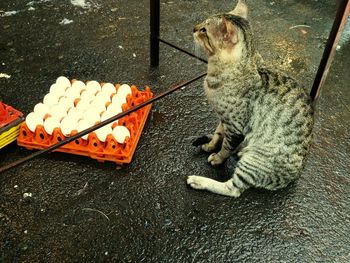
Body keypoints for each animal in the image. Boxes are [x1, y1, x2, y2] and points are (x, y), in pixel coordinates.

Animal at [189, 0, 314, 197]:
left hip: (255, 159)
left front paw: (217, 157)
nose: (194, 28)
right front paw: (210, 145)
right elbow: (218, 134)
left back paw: (198, 181)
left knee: (233, 189)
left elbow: (226, 147)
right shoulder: (224, 118)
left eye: (204, 30)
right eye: (201, 26)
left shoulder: (235, 126)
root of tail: (292, 178)